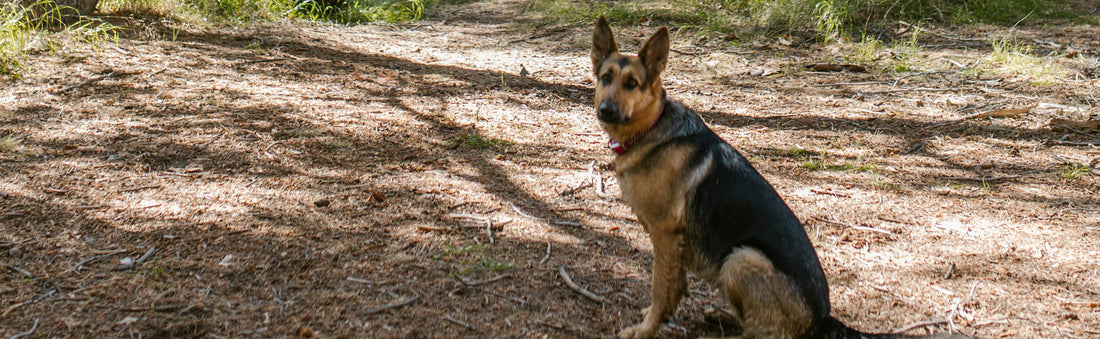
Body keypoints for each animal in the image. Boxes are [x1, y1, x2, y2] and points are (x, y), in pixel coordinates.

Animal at [598, 16, 968, 339]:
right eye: (605, 78)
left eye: (631, 84)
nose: (605, 110)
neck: (651, 127)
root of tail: (822, 320)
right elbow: (673, 289)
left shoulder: (665, 234)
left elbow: (660, 291)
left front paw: (645, 330)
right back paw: (723, 316)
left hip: (741, 258)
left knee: (763, 333)